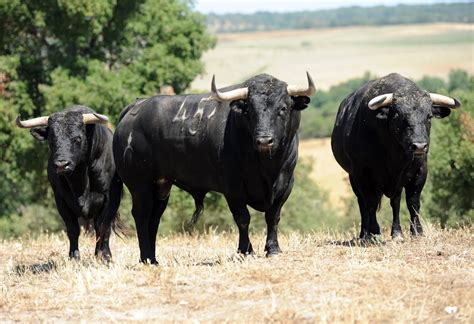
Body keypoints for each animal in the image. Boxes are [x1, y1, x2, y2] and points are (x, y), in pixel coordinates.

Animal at [15, 106, 118, 260]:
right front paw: (74, 257)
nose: (61, 165)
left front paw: (105, 256)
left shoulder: (109, 198)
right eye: (51, 139)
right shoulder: (61, 200)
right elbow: (73, 229)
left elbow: (103, 227)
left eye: (78, 138)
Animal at [105, 73, 316, 264]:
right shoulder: (233, 189)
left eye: (282, 108)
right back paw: (146, 258)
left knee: (154, 218)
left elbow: (273, 217)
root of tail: (135, 108)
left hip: (161, 185)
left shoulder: (285, 185)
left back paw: (153, 259)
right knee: (141, 215)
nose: (264, 140)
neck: (266, 167)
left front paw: (273, 249)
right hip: (140, 185)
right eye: (249, 111)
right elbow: (243, 218)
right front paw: (245, 251)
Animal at [332, 73, 462, 239]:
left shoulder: (420, 171)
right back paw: (364, 234)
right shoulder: (363, 174)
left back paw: (396, 232)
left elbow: (412, 202)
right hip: (353, 177)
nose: (419, 146)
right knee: (362, 204)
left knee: (395, 202)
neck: (394, 155)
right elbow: (370, 203)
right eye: (399, 115)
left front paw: (416, 232)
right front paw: (373, 233)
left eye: (429, 116)